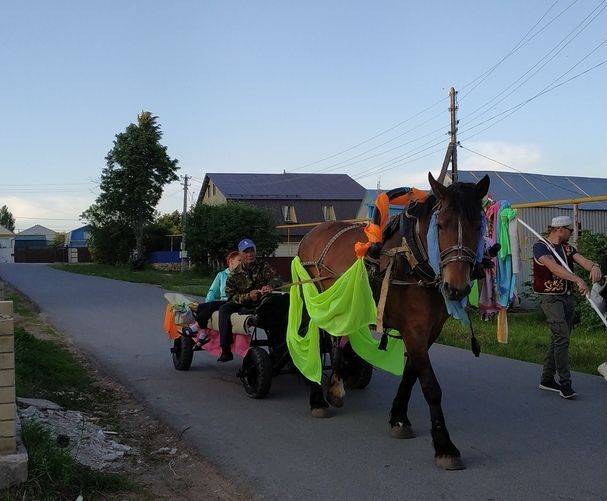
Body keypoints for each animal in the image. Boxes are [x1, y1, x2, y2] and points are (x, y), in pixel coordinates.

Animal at [296, 172, 492, 468]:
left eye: (479, 226)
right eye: (441, 225)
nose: (456, 288)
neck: (413, 259)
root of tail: (312, 233)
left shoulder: (429, 332)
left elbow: (411, 375)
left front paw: (399, 418)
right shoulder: (414, 331)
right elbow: (430, 386)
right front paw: (445, 446)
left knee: (336, 339)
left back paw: (336, 386)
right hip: (313, 301)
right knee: (318, 341)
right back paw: (318, 398)